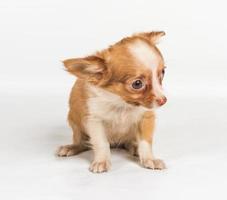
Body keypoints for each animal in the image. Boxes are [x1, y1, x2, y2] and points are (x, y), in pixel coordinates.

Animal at [56, 31, 167, 173]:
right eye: (137, 84)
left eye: (162, 73)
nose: (163, 100)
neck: (121, 103)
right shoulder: (94, 120)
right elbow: (101, 143)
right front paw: (102, 161)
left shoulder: (146, 117)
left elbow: (145, 142)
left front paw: (149, 159)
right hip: (76, 125)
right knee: (82, 143)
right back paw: (71, 147)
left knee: (128, 143)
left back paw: (135, 148)